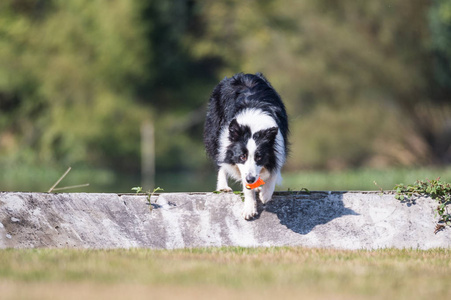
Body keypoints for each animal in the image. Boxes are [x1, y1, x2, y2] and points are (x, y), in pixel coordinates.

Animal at [205, 73, 290, 219]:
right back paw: (223, 187)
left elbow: (274, 170)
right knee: (221, 161)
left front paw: (265, 194)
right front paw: (249, 208)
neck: (253, 126)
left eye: (259, 157)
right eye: (242, 157)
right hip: (215, 131)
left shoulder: (278, 145)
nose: (251, 179)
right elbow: (245, 182)